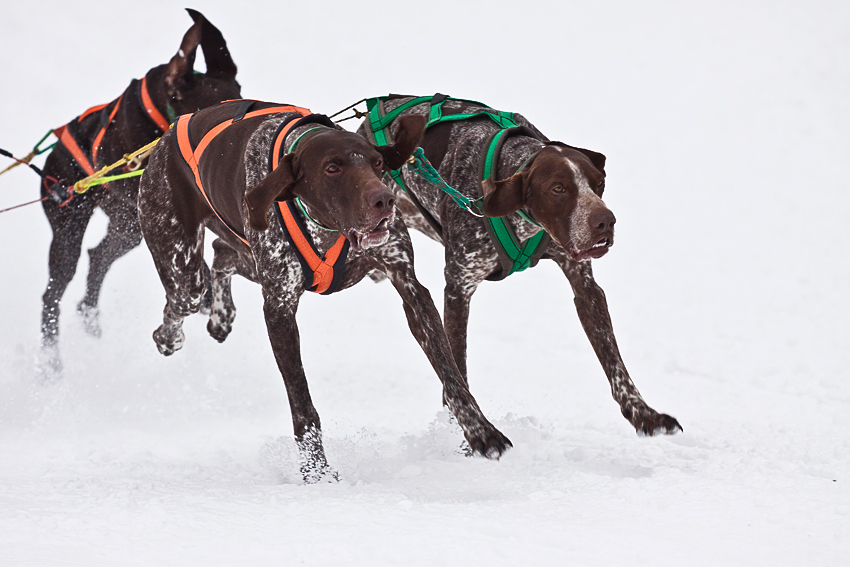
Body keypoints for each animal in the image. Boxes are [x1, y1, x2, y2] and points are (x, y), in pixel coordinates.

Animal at [39, 10, 238, 378]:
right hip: (68, 222)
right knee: (54, 292)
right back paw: (49, 362)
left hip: (128, 228)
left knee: (99, 257)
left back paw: (89, 317)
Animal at [137, 103, 510, 484]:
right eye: (332, 168)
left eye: (377, 163)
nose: (385, 200)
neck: (327, 228)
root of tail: (171, 132)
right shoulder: (279, 307)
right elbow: (302, 405)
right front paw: (317, 474)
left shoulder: (408, 284)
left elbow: (451, 374)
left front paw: (481, 432)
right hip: (185, 270)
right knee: (184, 297)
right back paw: (169, 336)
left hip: (242, 257)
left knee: (221, 253)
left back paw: (221, 316)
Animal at [354, 95, 680, 438]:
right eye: (558, 188)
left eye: (598, 183)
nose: (606, 221)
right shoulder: (458, 288)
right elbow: (456, 364)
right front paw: (465, 428)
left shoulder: (585, 285)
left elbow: (615, 363)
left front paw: (644, 414)